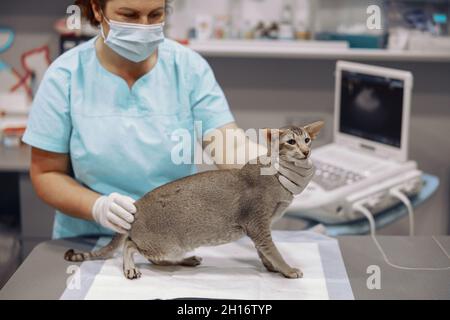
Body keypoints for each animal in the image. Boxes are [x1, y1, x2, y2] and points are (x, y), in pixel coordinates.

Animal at [65, 121, 324, 278]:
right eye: (291, 141)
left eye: (307, 140)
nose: (306, 152)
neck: (277, 176)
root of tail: (136, 204)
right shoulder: (257, 223)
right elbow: (273, 250)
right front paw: (288, 270)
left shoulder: (260, 228)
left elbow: (264, 251)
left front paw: (271, 267)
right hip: (166, 243)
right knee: (130, 245)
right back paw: (130, 268)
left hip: (168, 249)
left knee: (154, 259)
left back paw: (186, 261)